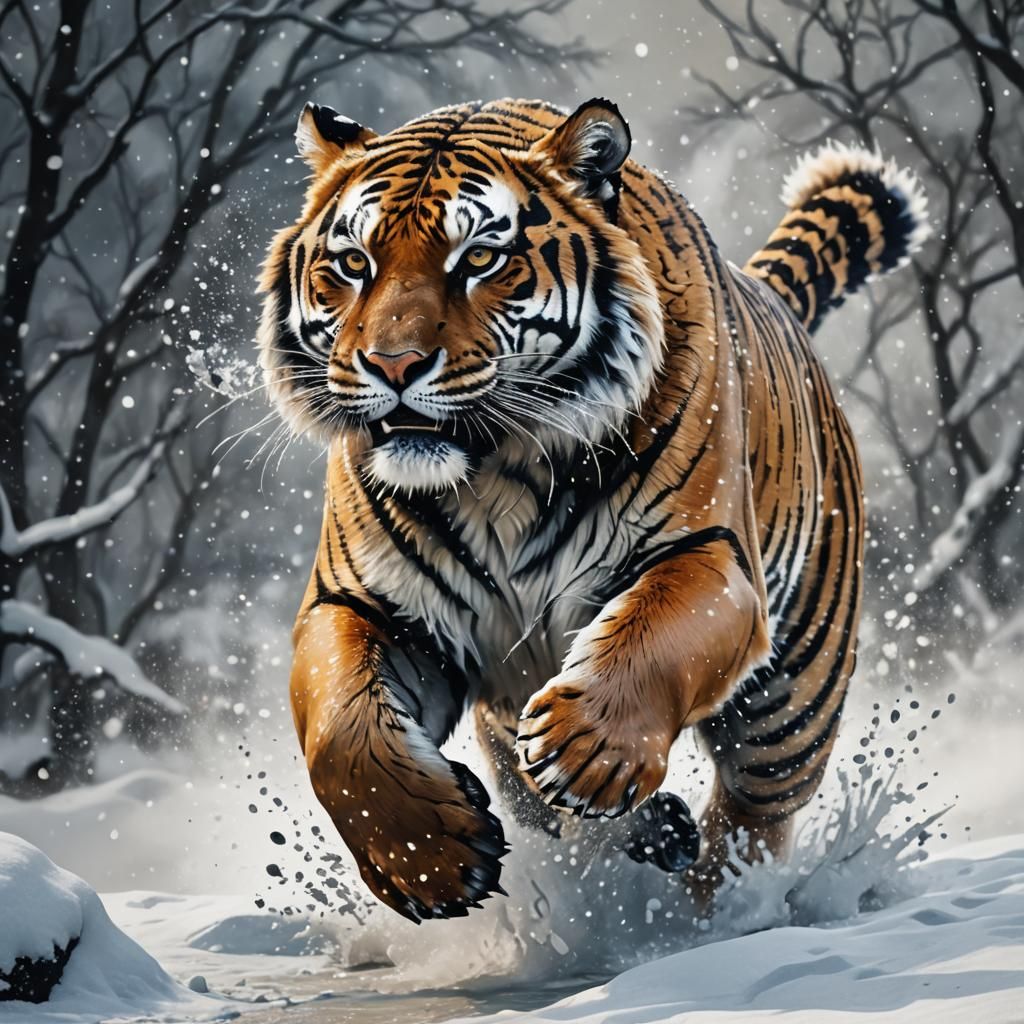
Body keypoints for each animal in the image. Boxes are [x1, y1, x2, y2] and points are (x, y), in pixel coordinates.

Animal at [257, 97, 928, 922]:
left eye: (479, 259)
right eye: (355, 264)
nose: (393, 365)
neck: (494, 473)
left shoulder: (708, 554)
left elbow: (651, 636)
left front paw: (587, 750)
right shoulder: (365, 603)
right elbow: (339, 733)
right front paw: (428, 860)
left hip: (793, 702)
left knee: (753, 819)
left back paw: (717, 913)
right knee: (541, 799)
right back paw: (652, 835)